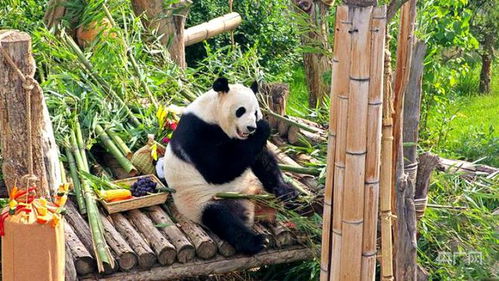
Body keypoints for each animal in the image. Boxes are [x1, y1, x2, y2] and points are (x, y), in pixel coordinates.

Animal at [157, 77, 296, 254]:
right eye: (241, 110)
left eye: (255, 112)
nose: (251, 128)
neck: (211, 112)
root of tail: (252, 203)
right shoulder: (197, 132)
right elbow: (218, 170)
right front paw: (263, 127)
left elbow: (261, 160)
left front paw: (286, 191)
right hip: (203, 202)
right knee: (222, 219)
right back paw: (256, 241)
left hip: (258, 188)